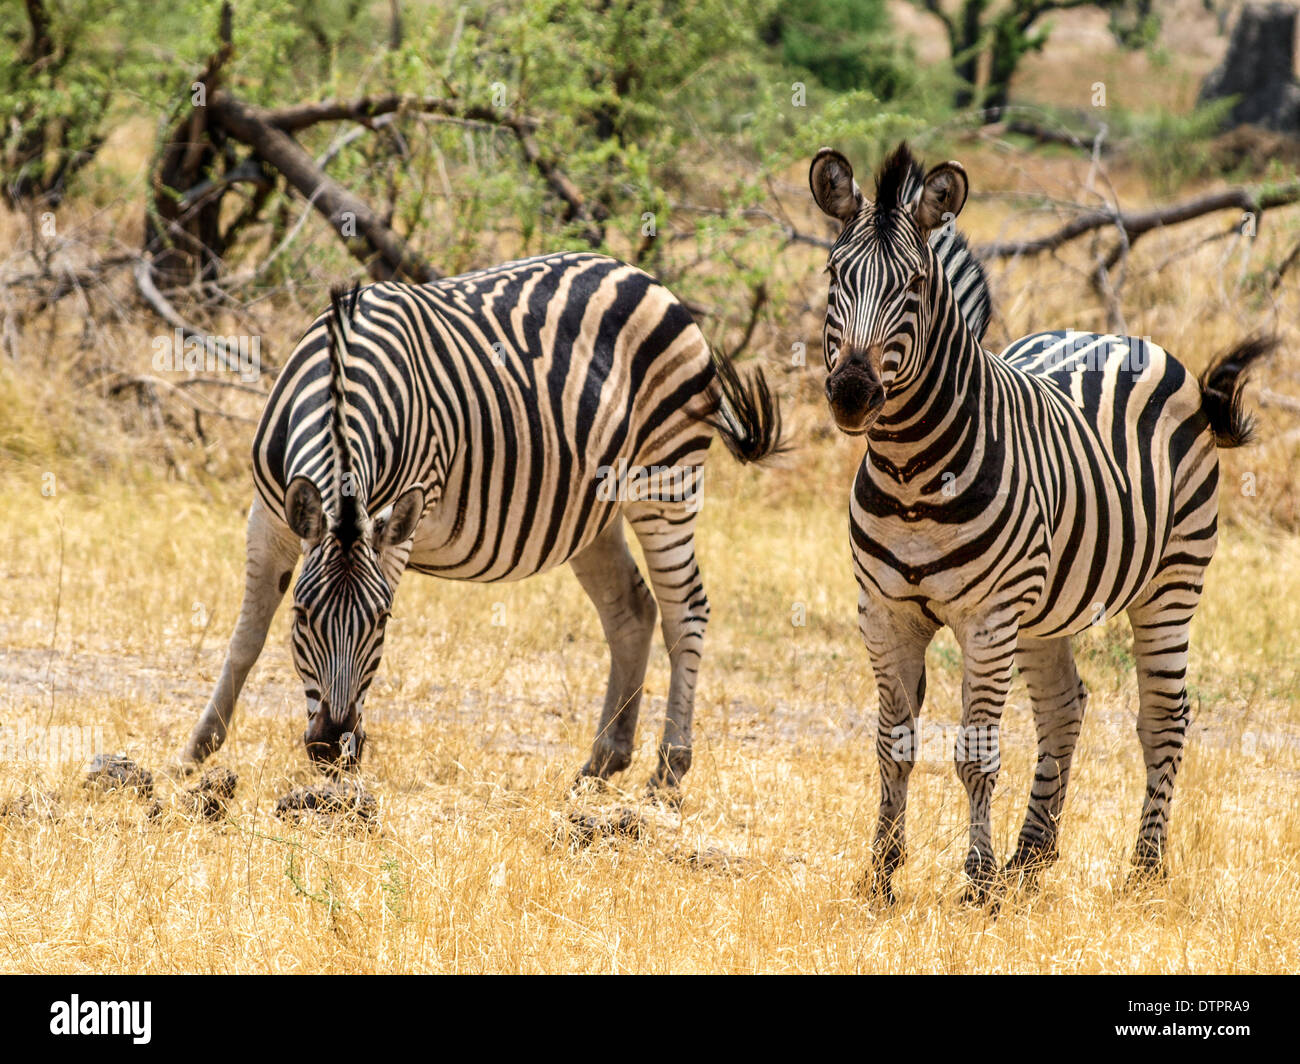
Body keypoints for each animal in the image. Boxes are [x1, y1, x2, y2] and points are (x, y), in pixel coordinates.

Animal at [178, 252, 774, 790]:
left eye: (382, 621)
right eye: (301, 617)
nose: (330, 746)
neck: (342, 379)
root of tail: (648, 280)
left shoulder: (399, 521)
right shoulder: (269, 512)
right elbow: (247, 636)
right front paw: (196, 749)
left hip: (666, 480)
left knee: (684, 610)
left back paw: (669, 771)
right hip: (591, 513)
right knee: (631, 610)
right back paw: (602, 763)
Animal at [806, 143, 1274, 905]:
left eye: (914, 286)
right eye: (833, 276)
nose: (851, 395)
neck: (911, 474)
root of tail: (1113, 335)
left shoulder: (987, 617)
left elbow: (975, 754)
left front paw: (977, 883)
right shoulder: (884, 611)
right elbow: (892, 745)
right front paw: (880, 873)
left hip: (1171, 583)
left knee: (1164, 718)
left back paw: (1144, 869)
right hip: (1044, 611)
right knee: (1065, 706)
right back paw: (1031, 854)